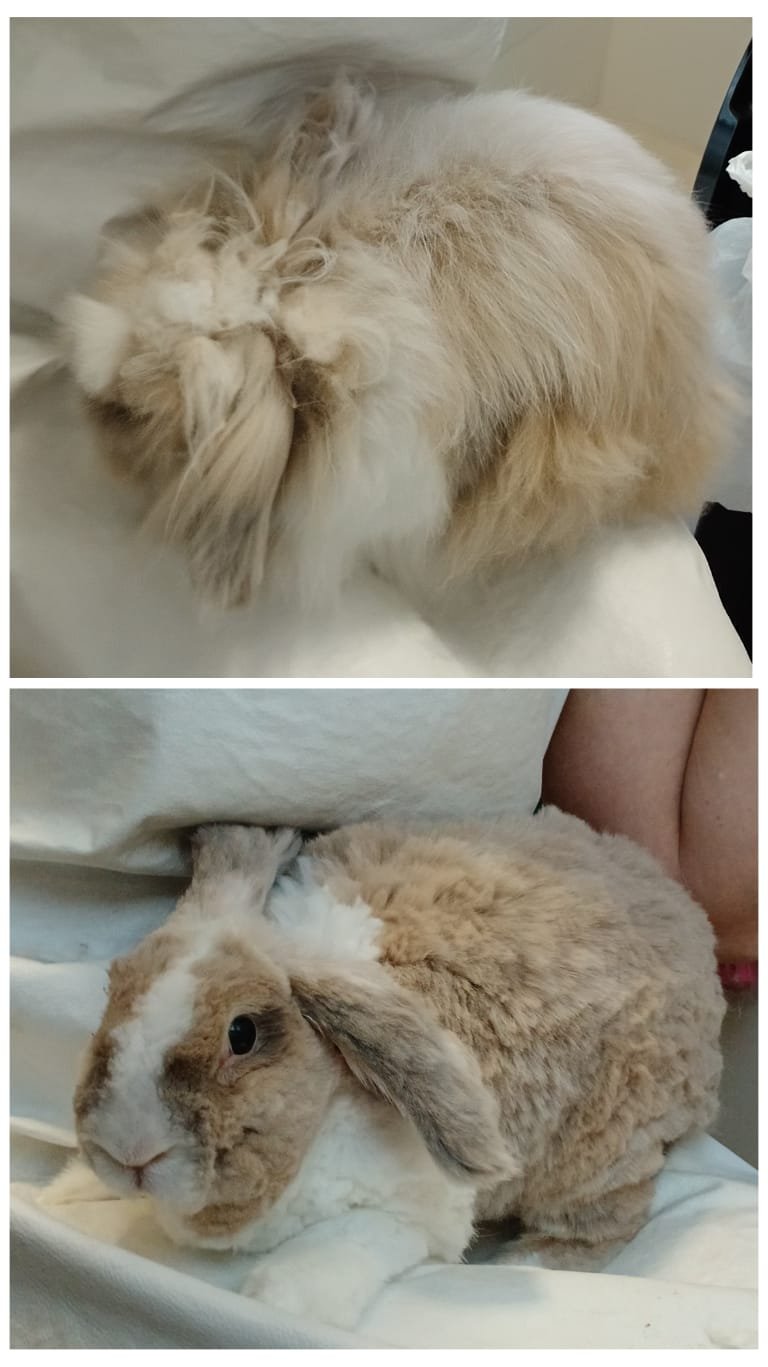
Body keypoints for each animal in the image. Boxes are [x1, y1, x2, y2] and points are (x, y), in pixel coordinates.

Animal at [71, 812, 724, 1330]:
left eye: (243, 1033)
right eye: (113, 990)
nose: (125, 1150)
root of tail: (684, 912)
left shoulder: (407, 1215)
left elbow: (344, 1247)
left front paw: (279, 1301)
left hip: (604, 1149)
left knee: (599, 1225)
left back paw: (521, 1261)